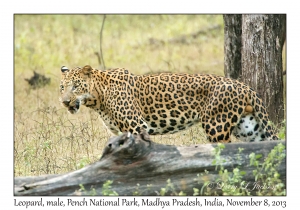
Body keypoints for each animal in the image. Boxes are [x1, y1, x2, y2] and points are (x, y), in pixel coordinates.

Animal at [59, 64, 278, 143]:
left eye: (76, 86)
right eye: (62, 87)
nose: (65, 101)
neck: (98, 98)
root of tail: (245, 86)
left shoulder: (136, 126)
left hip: (217, 126)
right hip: (249, 128)